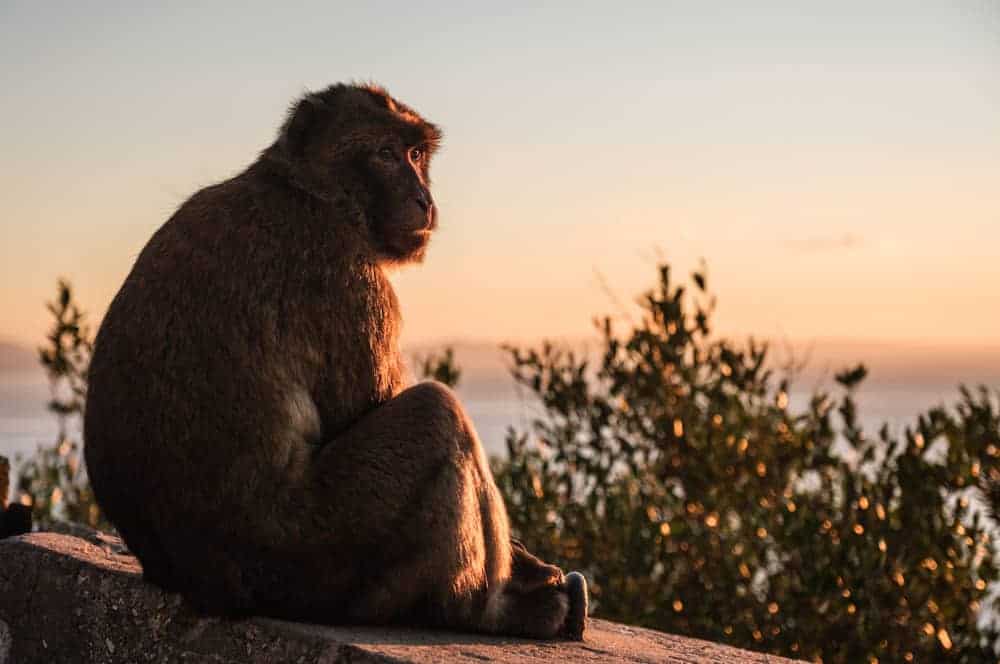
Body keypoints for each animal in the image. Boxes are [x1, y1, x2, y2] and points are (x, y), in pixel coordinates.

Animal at [83, 83, 588, 640]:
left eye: (415, 154)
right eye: (385, 154)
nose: (424, 199)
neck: (309, 193)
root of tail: (200, 581)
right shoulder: (352, 280)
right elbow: (367, 407)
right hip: (317, 554)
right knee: (435, 414)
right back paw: (486, 609)